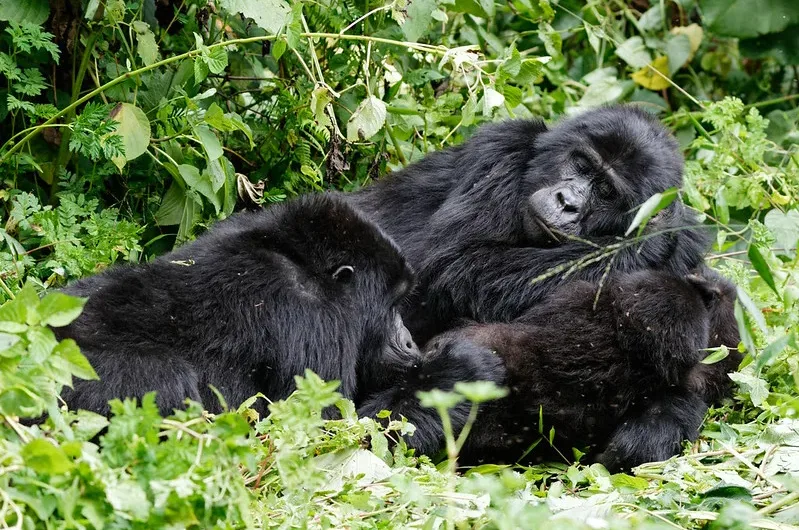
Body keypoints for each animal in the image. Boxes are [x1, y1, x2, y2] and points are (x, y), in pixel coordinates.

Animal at [51, 192, 500, 432]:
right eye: (392, 304)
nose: (408, 340)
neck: (303, 262)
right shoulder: (315, 320)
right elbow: (315, 433)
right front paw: (460, 372)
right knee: (166, 378)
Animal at [350, 104, 708, 342]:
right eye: (582, 164)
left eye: (606, 191)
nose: (567, 202)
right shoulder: (502, 149)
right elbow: (459, 265)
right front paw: (650, 236)